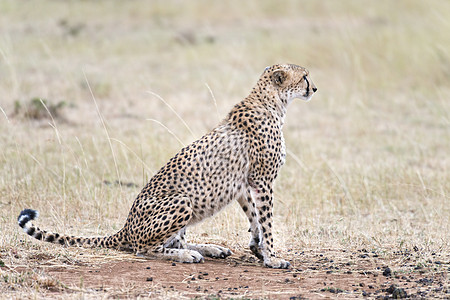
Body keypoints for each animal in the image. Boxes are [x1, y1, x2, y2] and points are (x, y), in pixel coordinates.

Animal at [18, 62, 316, 268]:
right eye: (304, 76)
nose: (314, 88)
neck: (272, 102)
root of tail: (125, 228)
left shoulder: (245, 183)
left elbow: (254, 217)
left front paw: (257, 247)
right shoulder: (262, 181)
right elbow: (267, 221)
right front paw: (273, 257)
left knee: (173, 239)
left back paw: (209, 247)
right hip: (182, 200)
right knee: (145, 248)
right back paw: (188, 254)